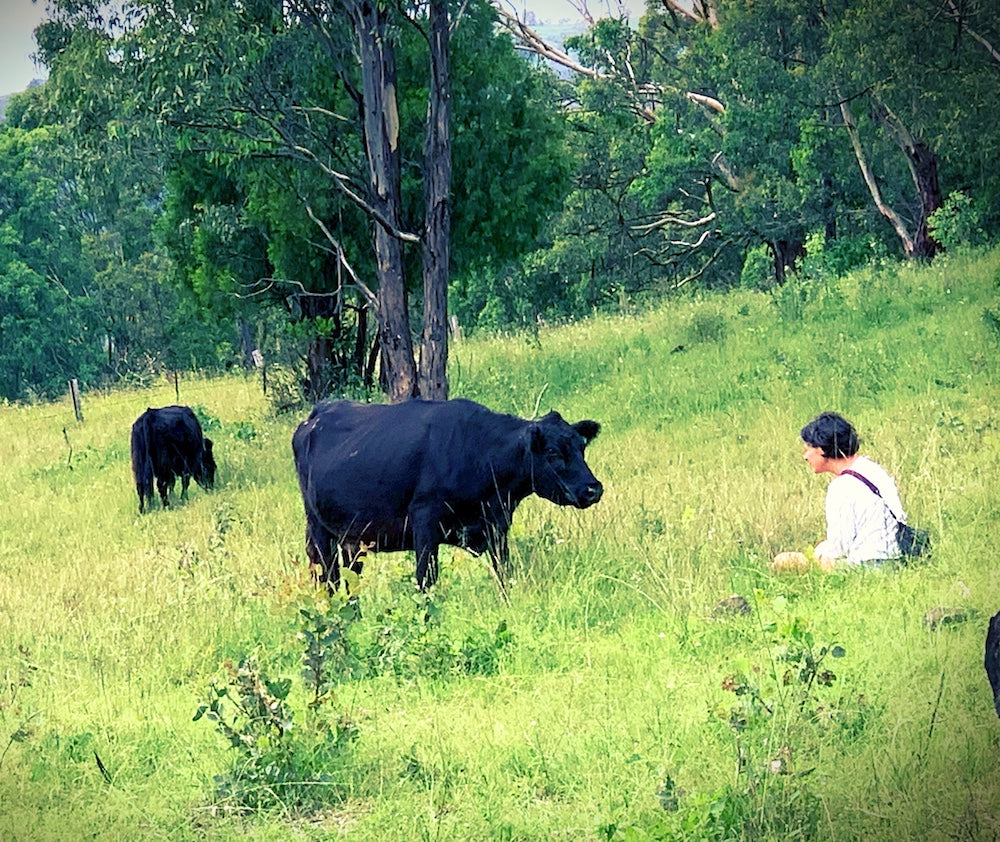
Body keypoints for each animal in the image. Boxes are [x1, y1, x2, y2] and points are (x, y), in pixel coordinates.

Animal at [290, 398, 600, 592]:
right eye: (552, 452)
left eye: (581, 446)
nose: (593, 488)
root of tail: (316, 414)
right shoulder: (424, 522)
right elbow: (425, 579)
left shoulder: (497, 526)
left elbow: (504, 572)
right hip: (319, 531)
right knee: (330, 579)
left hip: (353, 538)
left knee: (351, 579)